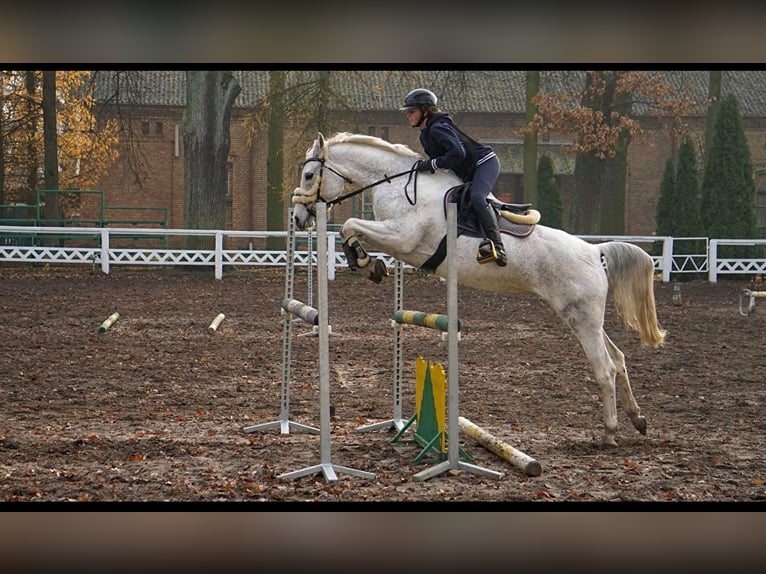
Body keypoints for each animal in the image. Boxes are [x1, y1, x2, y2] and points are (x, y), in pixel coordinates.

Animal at [294, 133, 664, 448]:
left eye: (309, 175)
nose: (298, 218)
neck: (398, 183)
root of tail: (594, 251)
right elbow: (351, 229)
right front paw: (367, 264)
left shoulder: (403, 238)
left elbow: (350, 224)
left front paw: (365, 261)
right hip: (584, 317)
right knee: (618, 359)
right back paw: (638, 418)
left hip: (582, 318)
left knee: (605, 368)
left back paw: (610, 432)